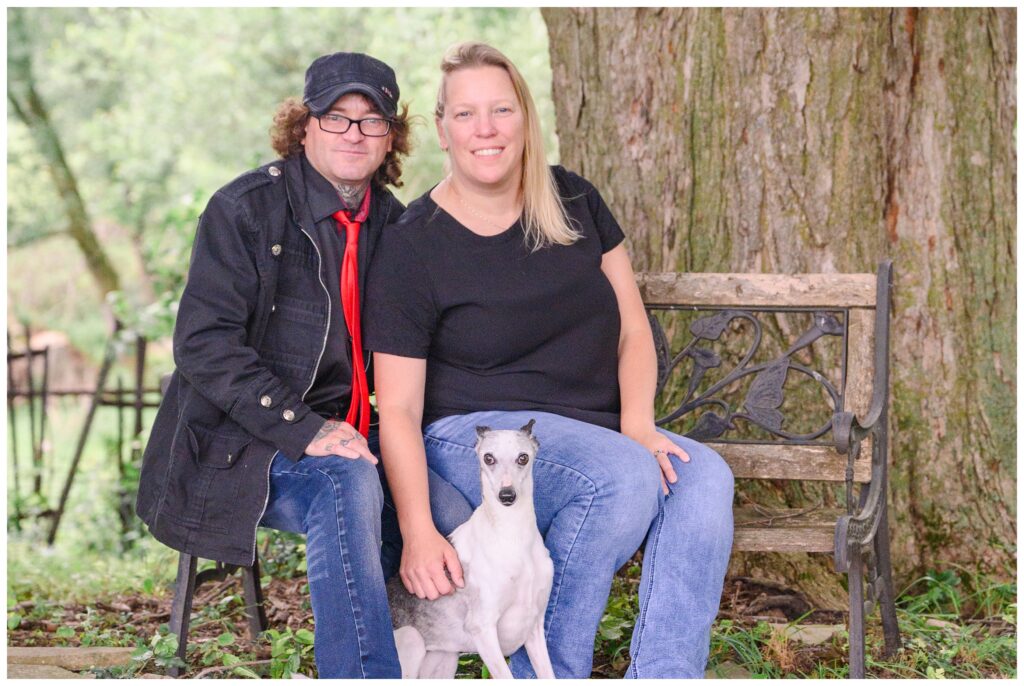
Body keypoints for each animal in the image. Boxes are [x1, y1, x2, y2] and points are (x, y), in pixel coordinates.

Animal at [387, 421, 557, 679]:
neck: (512, 536)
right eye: (488, 457)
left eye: (523, 457)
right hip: (411, 640)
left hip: (444, 661)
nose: (507, 496)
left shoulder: (534, 626)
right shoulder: (483, 628)